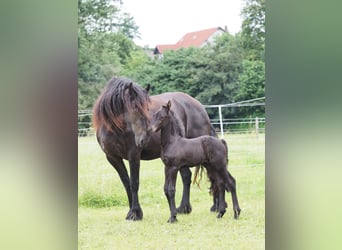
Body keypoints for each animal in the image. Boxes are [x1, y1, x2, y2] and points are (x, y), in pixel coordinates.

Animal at [93, 77, 216, 220]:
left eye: (147, 108)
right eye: (135, 108)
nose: (143, 139)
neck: (115, 129)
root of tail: (199, 106)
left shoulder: (133, 155)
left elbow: (134, 183)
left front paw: (136, 213)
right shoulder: (113, 158)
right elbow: (126, 183)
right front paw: (131, 212)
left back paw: (214, 207)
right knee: (187, 176)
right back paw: (183, 208)